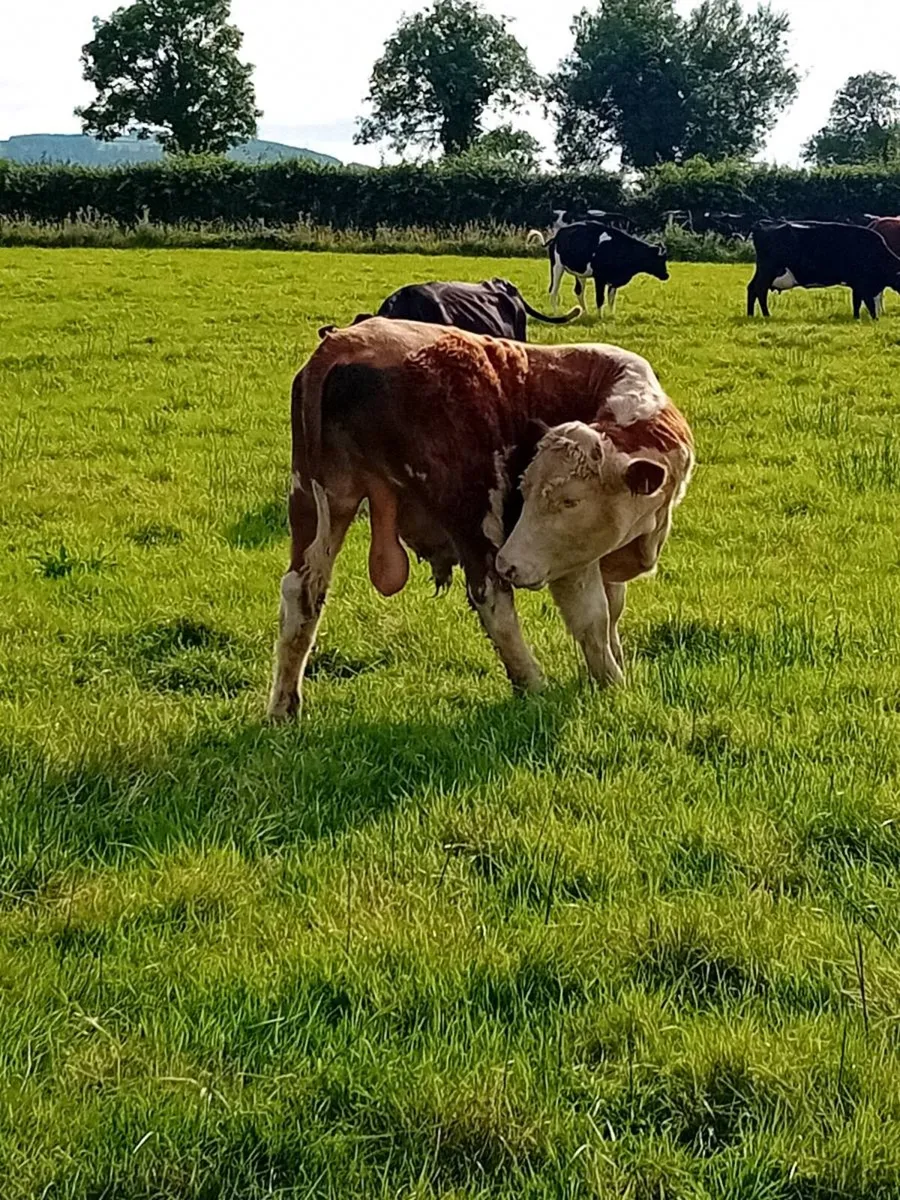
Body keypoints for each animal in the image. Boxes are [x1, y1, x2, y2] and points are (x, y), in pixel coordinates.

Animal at [267, 319, 694, 721]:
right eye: (529, 490)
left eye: (569, 501)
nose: (511, 563)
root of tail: (343, 345)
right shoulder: (569, 559)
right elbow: (593, 619)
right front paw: (611, 683)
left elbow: (613, 610)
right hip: (473, 513)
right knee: (491, 597)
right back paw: (532, 682)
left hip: (318, 503)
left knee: (301, 596)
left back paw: (283, 707)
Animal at [747, 220, 900, 319]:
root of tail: (760, 226)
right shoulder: (863, 283)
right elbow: (868, 303)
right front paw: (875, 319)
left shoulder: (857, 285)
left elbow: (857, 302)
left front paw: (856, 318)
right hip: (768, 271)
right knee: (760, 290)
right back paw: (766, 315)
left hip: (763, 271)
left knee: (752, 288)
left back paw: (751, 315)